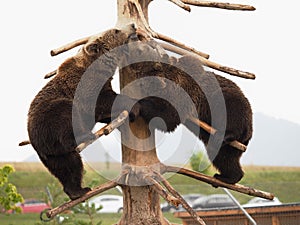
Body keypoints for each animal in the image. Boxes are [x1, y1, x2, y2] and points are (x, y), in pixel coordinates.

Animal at [27, 25, 138, 200]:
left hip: (53, 154)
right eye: (116, 30)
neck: (100, 66)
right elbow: (104, 101)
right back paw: (85, 136)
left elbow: (104, 112)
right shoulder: (86, 87)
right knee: (66, 118)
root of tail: (33, 138)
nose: (132, 25)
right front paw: (135, 106)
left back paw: (77, 191)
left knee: (70, 166)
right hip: (50, 115)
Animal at [123, 41, 252, 185]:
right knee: (222, 156)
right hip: (225, 142)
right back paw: (227, 176)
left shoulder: (182, 94)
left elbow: (167, 117)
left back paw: (225, 136)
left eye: (140, 50)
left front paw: (135, 105)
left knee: (231, 120)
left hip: (228, 103)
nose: (127, 45)